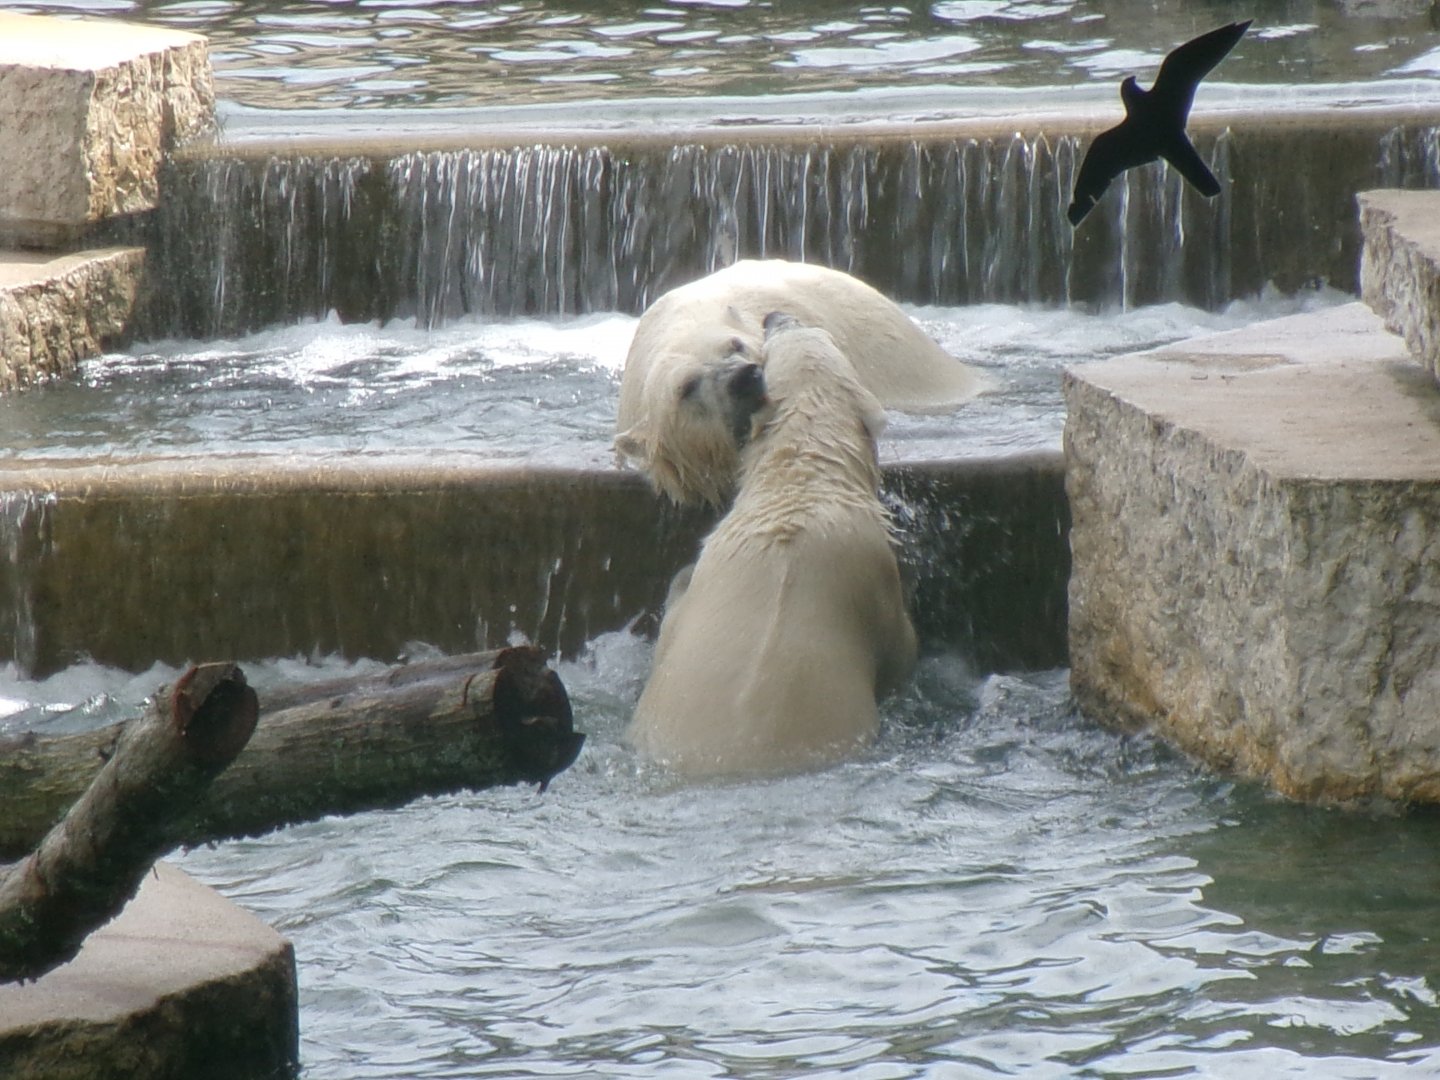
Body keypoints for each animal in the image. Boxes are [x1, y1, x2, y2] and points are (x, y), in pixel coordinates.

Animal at [625, 312, 919, 777]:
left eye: (773, 338)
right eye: (809, 331)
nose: (775, 315)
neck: (801, 484)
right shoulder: (875, 580)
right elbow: (902, 649)